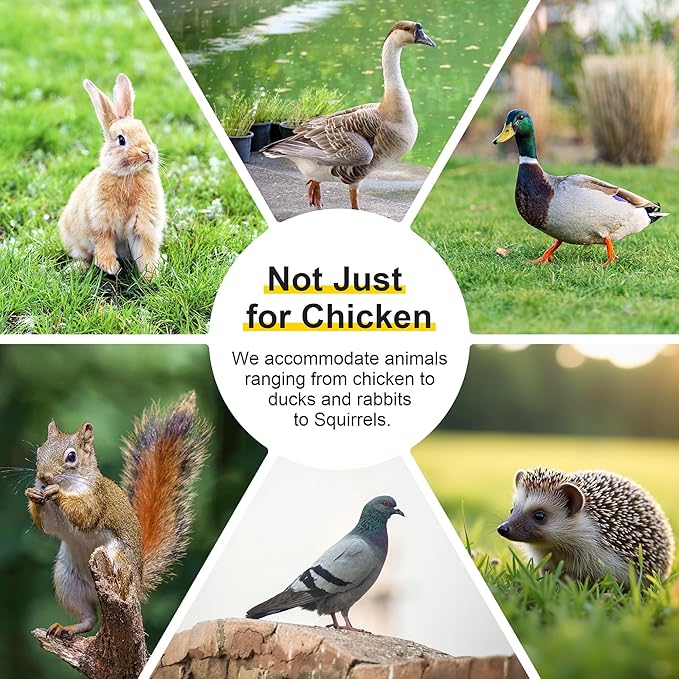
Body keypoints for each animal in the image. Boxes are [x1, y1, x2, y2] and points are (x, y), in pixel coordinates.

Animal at [59, 74, 165, 281]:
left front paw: (151, 277)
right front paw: (111, 268)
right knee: (83, 255)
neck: (129, 175)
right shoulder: (101, 221)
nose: (148, 152)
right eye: (121, 139)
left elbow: (146, 251)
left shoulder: (143, 225)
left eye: (144, 130)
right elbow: (103, 243)